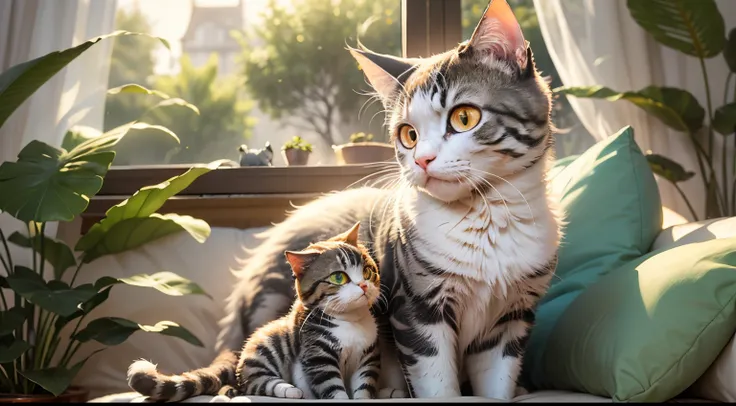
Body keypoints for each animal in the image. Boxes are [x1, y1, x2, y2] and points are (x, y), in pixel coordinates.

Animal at [126, 224, 382, 402]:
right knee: (254, 383)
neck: (351, 322)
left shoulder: (367, 356)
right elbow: (333, 388)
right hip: (267, 347)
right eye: (339, 277)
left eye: (368, 271)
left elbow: (363, 388)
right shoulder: (317, 357)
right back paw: (288, 390)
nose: (363, 285)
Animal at [216, 0, 560, 400]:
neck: (486, 214)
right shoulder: (417, 308)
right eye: (408, 135)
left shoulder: (510, 318)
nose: (422, 159)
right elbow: (437, 382)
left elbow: (496, 385)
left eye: (464, 117)